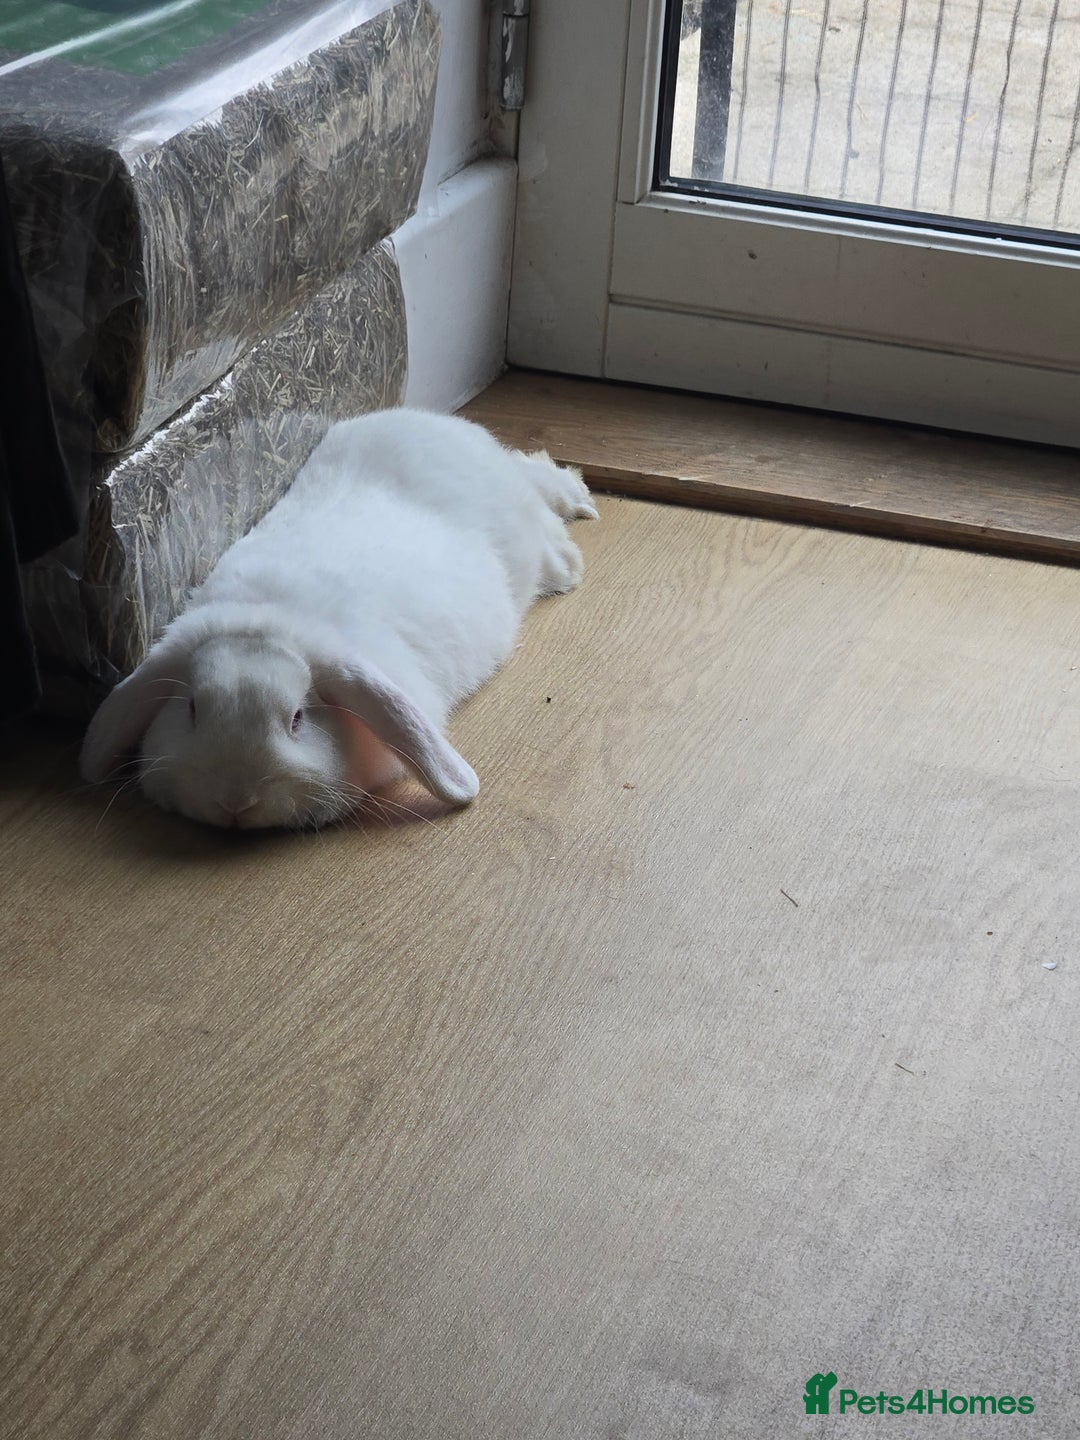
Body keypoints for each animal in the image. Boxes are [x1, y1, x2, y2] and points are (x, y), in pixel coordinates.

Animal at [79, 408, 598, 829]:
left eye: (297, 719)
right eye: (191, 709)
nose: (235, 803)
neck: (266, 617)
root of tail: (449, 426)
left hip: (523, 531)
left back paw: (573, 540)